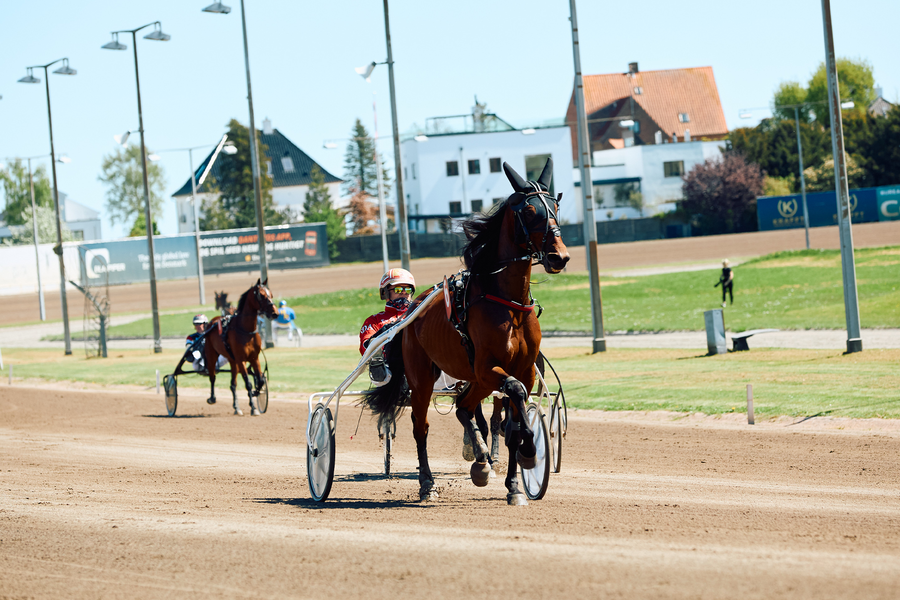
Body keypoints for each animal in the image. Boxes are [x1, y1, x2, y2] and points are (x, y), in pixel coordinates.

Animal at [205, 278, 278, 414]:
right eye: (261, 295)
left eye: (271, 294)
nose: (275, 313)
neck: (245, 330)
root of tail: (213, 321)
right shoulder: (241, 359)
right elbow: (248, 383)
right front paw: (253, 408)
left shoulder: (254, 358)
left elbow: (260, 380)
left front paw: (256, 392)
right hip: (211, 354)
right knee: (212, 376)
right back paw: (212, 398)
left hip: (232, 360)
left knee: (233, 384)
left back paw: (236, 407)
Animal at [360, 161, 568, 506]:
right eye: (528, 210)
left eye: (555, 207)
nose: (558, 257)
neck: (508, 302)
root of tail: (409, 315)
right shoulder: (488, 368)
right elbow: (514, 395)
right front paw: (528, 453)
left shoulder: (522, 370)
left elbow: (513, 419)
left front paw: (515, 484)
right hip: (423, 378)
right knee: (422, 426)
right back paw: (427, 484)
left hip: (474, 381)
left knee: (464, 408)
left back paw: (481, 462)